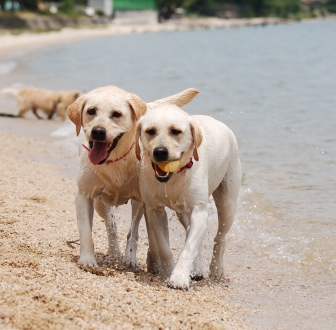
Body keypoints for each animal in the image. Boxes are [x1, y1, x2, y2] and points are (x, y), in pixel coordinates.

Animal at [67, 86, 201, 270]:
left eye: (116, 114)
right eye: (91, 111)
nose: (98, 131)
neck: (114, 160)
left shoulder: (142, 199)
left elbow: (139, 233)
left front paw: (138, 259)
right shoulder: (84, 195)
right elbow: (86, 231)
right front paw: (87, 260)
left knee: (139, 230)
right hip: (99, 203)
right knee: (111, 224)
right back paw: (114, 251)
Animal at [136, 104, 242, 290]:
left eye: (175, 131)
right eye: (150, 131)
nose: (160, 152)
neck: (174, 176)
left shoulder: (199, 211)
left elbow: (189, 248)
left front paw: (179, 278)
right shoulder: (154, 210)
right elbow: (164, 246)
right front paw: (169, 271)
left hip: (228, 201)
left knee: (220, 237)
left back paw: (216, 269)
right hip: (182, 211)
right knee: (188, 229)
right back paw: (197, 268)